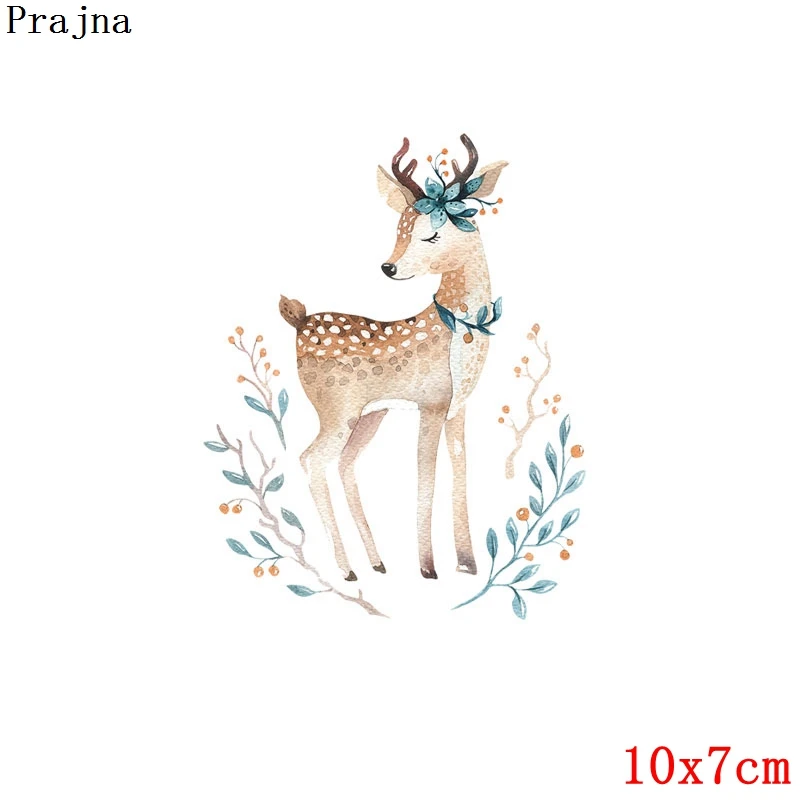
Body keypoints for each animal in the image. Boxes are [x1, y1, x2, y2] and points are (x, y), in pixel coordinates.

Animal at [279, 134, 508, 581]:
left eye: (432, 235)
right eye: (399, 228)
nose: (388, 267)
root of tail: (297, 320)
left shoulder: (457, 408)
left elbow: (460, 469)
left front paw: (468, 563)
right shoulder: (431, 402)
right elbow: (425, 474)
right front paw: (428, 568)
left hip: (370, 414)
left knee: (345, 463)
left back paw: (377, 562)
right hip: (337, 409)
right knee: (311, 459)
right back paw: (347, 569)